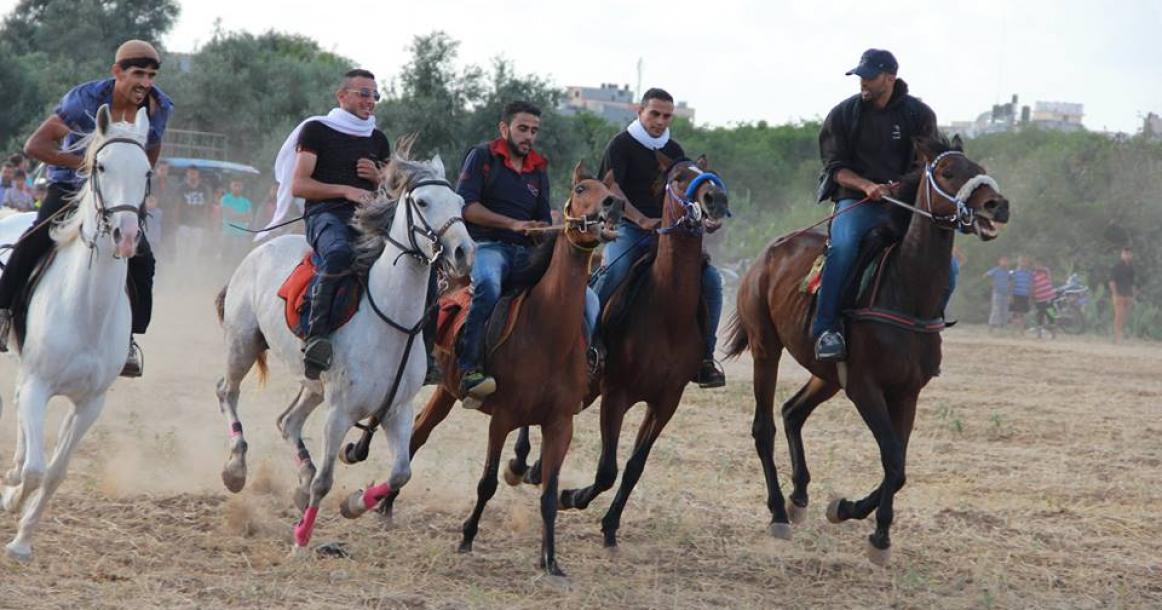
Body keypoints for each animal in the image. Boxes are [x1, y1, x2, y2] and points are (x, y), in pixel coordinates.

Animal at [0, 104, 152, 562]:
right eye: (101, 166)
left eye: (147, 171)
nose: (126, 236)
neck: (87, 309)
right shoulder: (40, 386)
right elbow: (36, 469)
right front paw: (12, 501)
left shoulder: (90, 404)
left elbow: (54, 471)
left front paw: (22, 538)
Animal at [216, 137, 474, 550]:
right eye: (422, 202)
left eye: (460, 203)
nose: (464, 252)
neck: (390, 322)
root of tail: (258, 252)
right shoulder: (339, 412)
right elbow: (326, 481)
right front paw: (301, 539)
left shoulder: (398, 411)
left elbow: (401, 472)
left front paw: (354, 504)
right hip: (243, 344)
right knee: (228, 391)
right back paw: (236, 468)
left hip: (311, 383)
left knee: (288, 422)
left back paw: (300, 480)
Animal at [376, 161, 622, 576]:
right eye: (581, 189)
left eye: (611, 191)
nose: (613, 205)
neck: (548, 332)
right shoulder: (502, 418)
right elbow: (487, 483)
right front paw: (467, 536)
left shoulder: (560, 424)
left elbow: (549, 494)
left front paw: (551, 561)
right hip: (443, 389)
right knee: (416, 436)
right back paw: (382, 498)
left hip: (449, 393)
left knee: (417, 436)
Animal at [548, 156, 729, 546]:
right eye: (679, 177)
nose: (715, 199)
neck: (667, 312)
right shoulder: (616, 395)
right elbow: (607, 469)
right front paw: (571, 497)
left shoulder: (666, 401)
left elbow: (634, 466)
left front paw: (610, 524)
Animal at [725, 135, 1008, 564]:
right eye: (947, 172)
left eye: (980, 167)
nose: (997, 205)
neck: (904, 292)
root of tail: (768, 254)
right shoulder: (864, 387)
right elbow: (892, 457)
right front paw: (859, 518)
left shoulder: (906, 392)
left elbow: (899, 465)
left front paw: (867, 524)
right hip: (766, 347)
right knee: (764, 427)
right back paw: (777, 512)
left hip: (826, 375)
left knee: (792, 412)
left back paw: (799, 497)